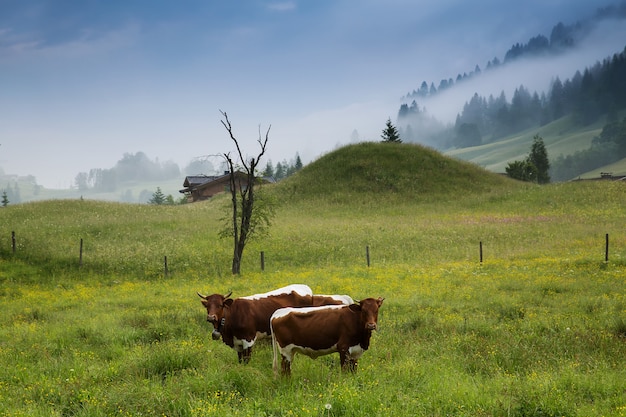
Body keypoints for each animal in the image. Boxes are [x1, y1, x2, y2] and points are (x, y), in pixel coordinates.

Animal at [195, 284, 352, 362]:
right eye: (208, 306)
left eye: (220, 305)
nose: (211, 317)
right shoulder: (237, 342)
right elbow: (240, 360)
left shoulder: (248, 340)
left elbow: (246, 359)